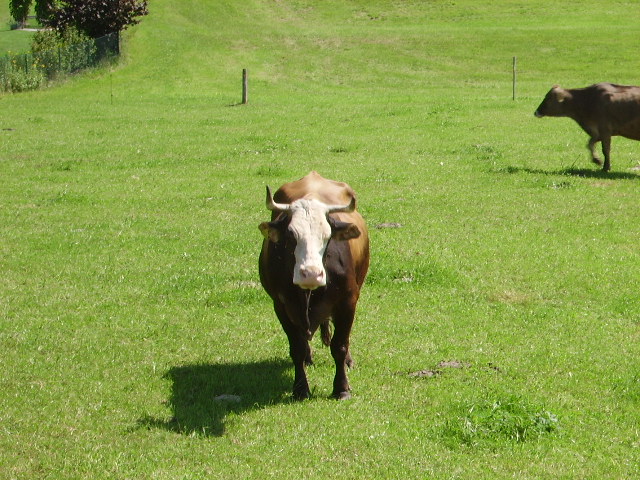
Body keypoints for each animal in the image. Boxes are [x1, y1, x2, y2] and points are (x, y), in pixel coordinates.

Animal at [258, 172, 370, 402]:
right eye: (291, 235)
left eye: (327, 236)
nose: (310, 274)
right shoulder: (281, 306)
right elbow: (297, 348)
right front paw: (301, 388)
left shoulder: (348, 302)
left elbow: (340, 345)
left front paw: (341, 387)